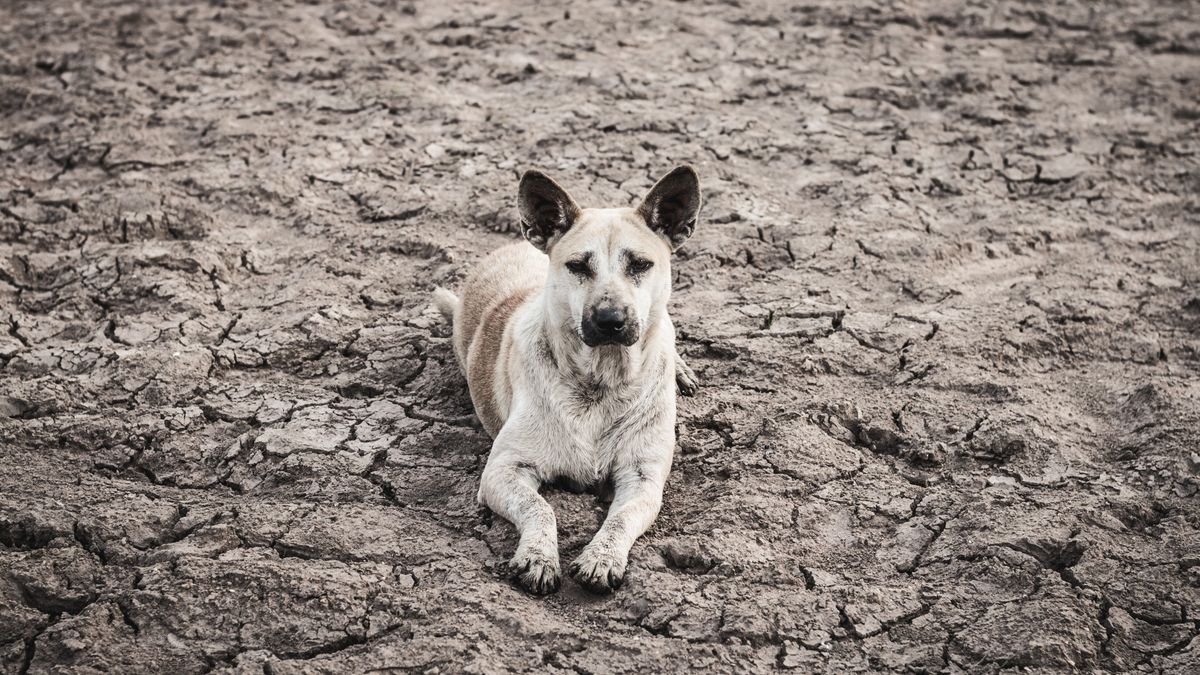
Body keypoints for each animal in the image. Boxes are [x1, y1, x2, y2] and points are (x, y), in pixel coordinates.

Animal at [434, 165, 700, 590]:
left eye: (640, 264)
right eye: (577, 266)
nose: (610, 320)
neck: (600, 380)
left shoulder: (643, 476)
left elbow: (621, 517)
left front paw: (601, 558)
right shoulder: (503, 470)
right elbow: (540, 508)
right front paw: (538, 556)